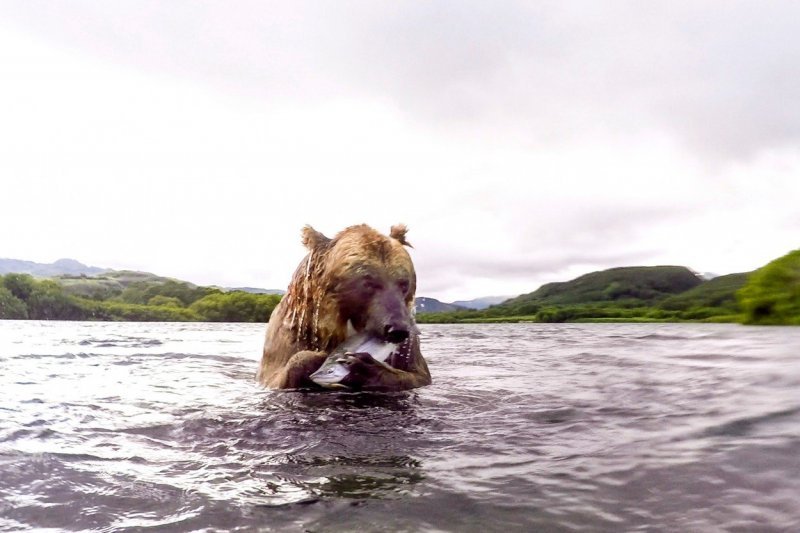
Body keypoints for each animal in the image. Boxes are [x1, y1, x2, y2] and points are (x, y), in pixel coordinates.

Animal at [256, 221, 432, 390]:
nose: (397, 329)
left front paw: (365, 368)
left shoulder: (410, 346)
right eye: (369, 282)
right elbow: (278, 373)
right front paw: (317, 357)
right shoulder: (291, 331)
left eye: (403, 283)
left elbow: (418, 376)